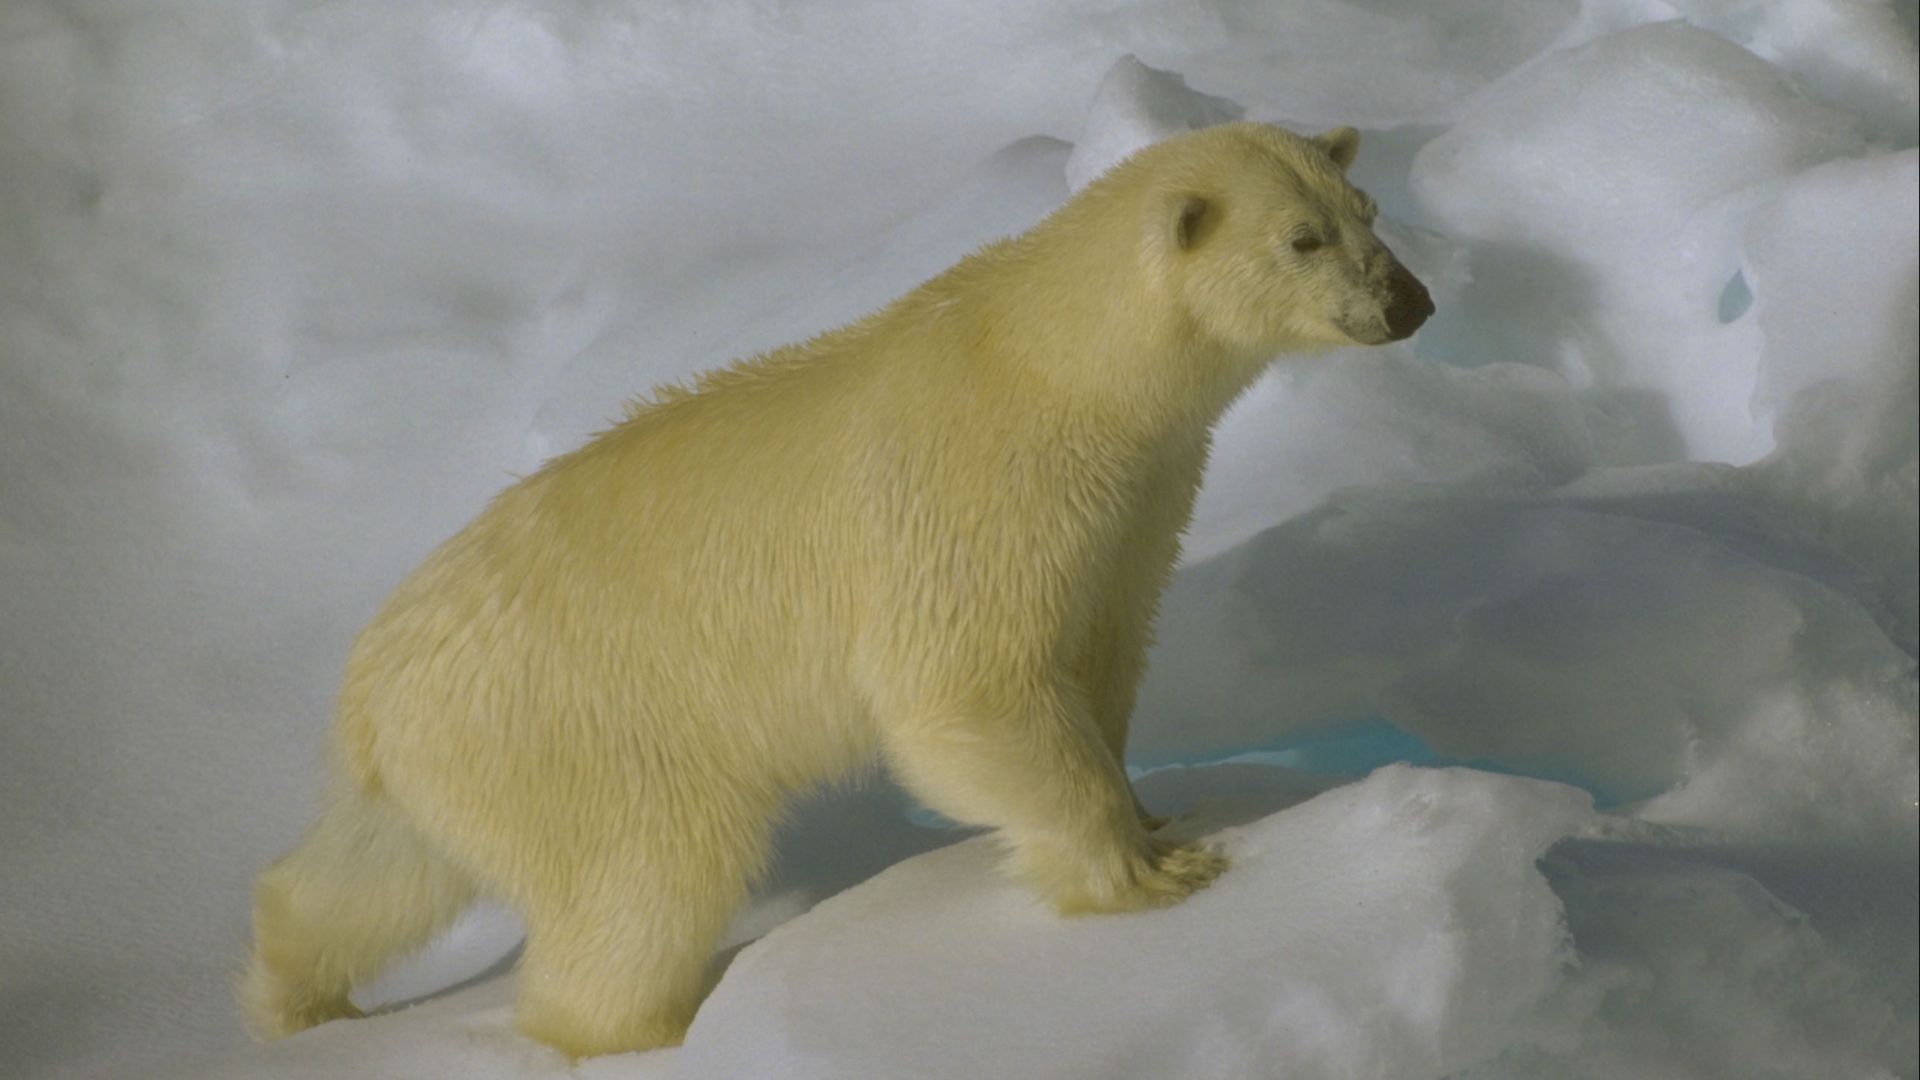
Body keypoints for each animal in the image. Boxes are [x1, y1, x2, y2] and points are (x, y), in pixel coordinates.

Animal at [240, 121, 1433, 1058]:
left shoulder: (1135, 506)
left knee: (383, 867)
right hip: (592, 720)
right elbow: (967, 690)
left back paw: (296, 992)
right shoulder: (977, 500)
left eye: (1367, 207)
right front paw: (1155, 876)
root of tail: (368, 691)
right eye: (1302, 237)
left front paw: (1159, 810)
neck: (1057, 368)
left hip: (466, 754)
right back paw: (647, 1030)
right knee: (647, 880)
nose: (1411, 303)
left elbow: (1099, 652)